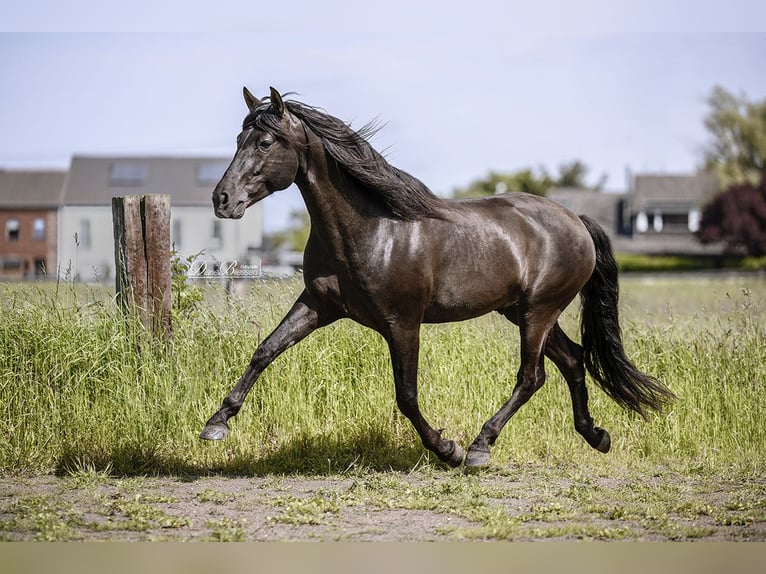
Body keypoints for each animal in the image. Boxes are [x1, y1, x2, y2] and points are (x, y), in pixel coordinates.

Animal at [201, 88, 676, 470]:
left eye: (265, 142)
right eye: (238, 140)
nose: (222, 200)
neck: (371, 230)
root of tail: (575, 220)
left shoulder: (402, 323)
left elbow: (406, 395)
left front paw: (447, 449)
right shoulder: (319, 305)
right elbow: (264, 351)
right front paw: (216, 424)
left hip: (538, 312)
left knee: (532, 376)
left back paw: (480, 447)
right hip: (523, 311)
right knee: (573, 360)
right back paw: (596, 436)